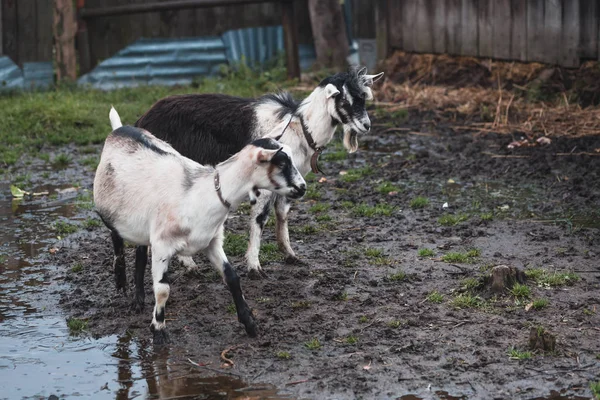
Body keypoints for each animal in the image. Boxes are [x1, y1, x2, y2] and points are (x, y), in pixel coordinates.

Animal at [96, 107, 310, 344]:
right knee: (116, 238)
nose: (302, 187)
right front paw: (159, 331)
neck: (201, 194)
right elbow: (162, 290)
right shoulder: (162, 246)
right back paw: (120, 281)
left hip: (143, 223)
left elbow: (232, 277)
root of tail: (119, 129)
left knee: (141, 253)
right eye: (281, 163)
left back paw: (138, 299)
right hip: (114, 213)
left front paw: (250, 324)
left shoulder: (211, 241)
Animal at [135, 67, 384, 276]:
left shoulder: (289, 183)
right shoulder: (263, 184)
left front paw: (290, 255)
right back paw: (187, 264)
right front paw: (254, 266)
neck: (299, 128)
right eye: (343, 99)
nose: (366, 126)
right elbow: (259, 218)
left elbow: (282, 214)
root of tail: (143, 118)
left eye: (364, 99)